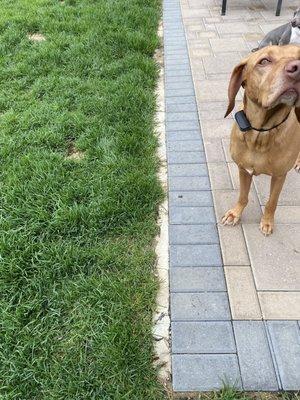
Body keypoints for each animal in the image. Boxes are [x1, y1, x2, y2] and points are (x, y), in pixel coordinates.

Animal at [221, 45, 300, 236]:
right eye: (264, 61)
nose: (297, 68)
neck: (261, 134)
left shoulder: (279, 176)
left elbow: (272, 202)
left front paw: (267, 221)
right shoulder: (243, 169)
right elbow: (243, 196)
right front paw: (235, 214)